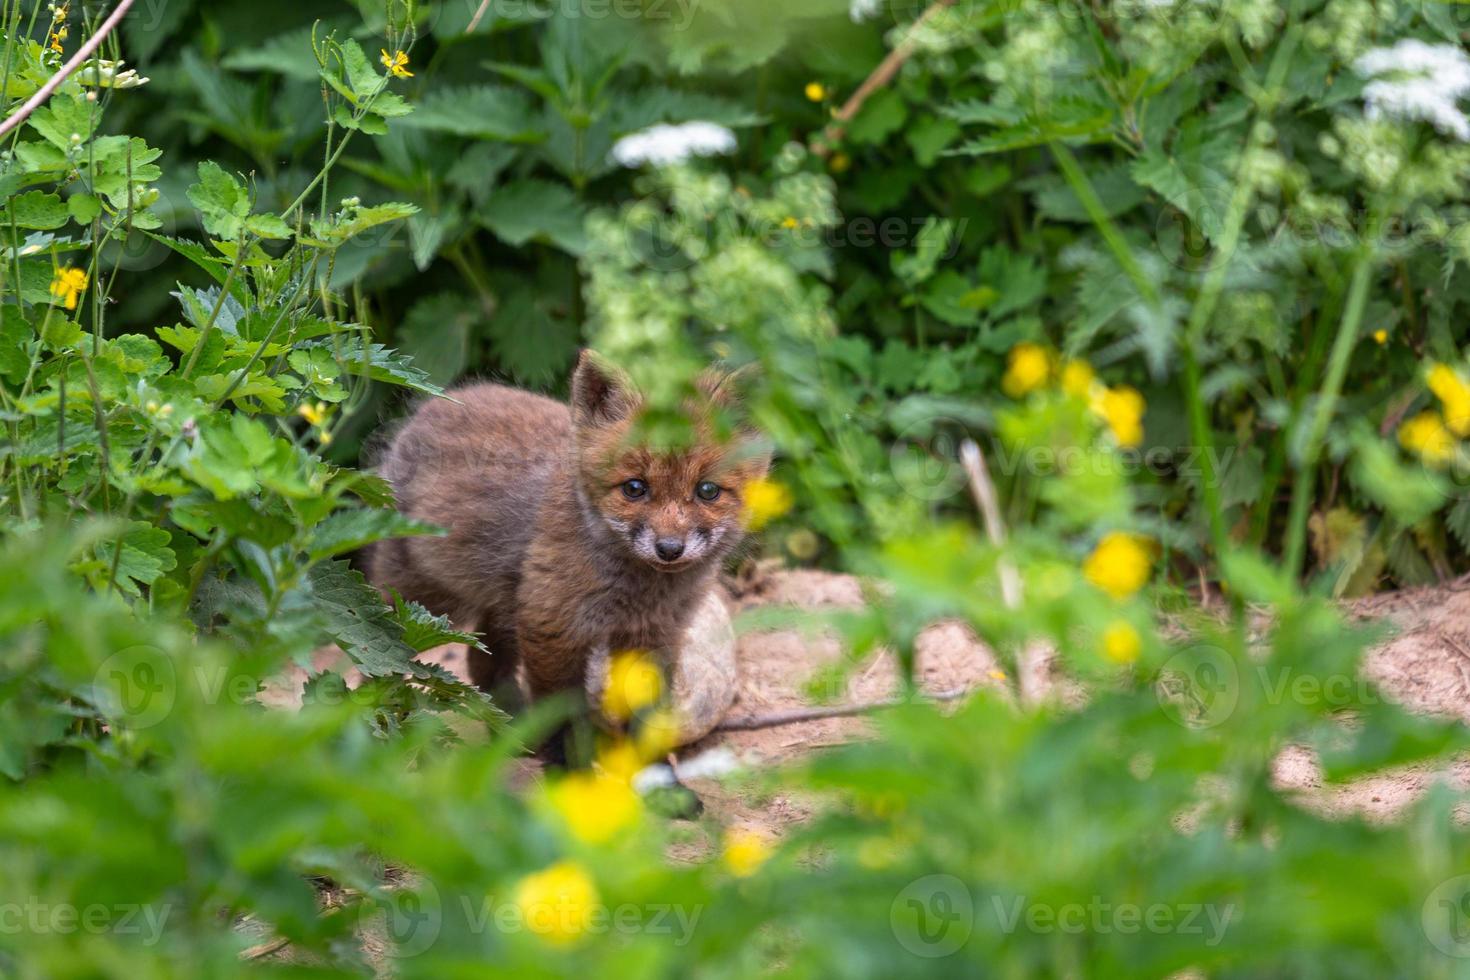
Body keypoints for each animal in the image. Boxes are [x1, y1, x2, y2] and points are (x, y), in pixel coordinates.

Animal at [366, 352, 770, 752]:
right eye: (634, 488)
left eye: (707, 491)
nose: (669, 549)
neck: (638, 592)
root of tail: (433, 406)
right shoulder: (552, 628)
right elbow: (562, 711)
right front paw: (570, 762)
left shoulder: (654, 637)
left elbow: (643, 715)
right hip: (419, 598)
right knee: (385, 652)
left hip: (506, 603)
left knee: (481, 662)